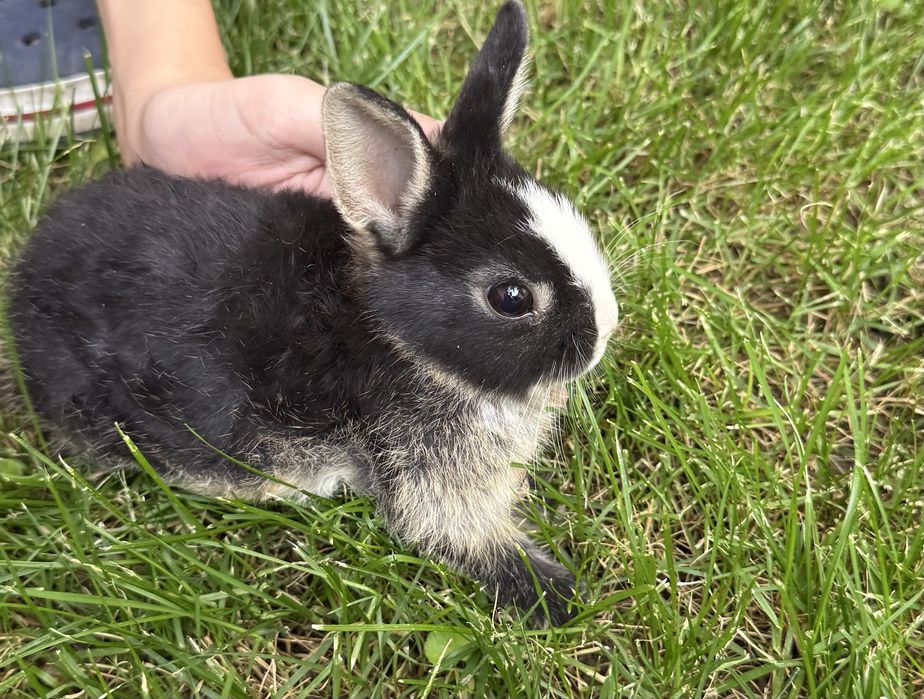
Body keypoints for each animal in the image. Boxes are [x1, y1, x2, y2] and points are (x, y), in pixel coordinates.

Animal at [7, 1, 619, 626]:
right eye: (511, 297)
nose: (602, 334)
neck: (394, 336)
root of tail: (29, 268)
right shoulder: (418, 464)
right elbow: (450, 529)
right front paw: (556, 594)